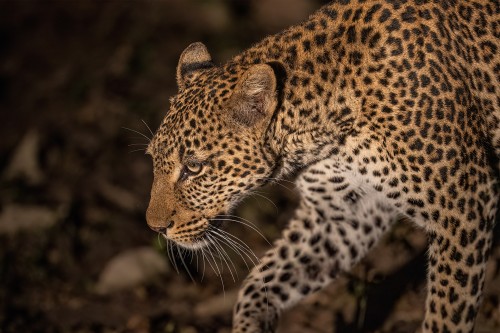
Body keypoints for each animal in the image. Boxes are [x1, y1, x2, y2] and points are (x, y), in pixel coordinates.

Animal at [145, 0, 500, 332]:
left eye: (193, 167)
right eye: (153, 160)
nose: (156, 228)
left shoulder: (464, 206)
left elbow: (447, 311)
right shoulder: (344, 212)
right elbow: (263, 282)